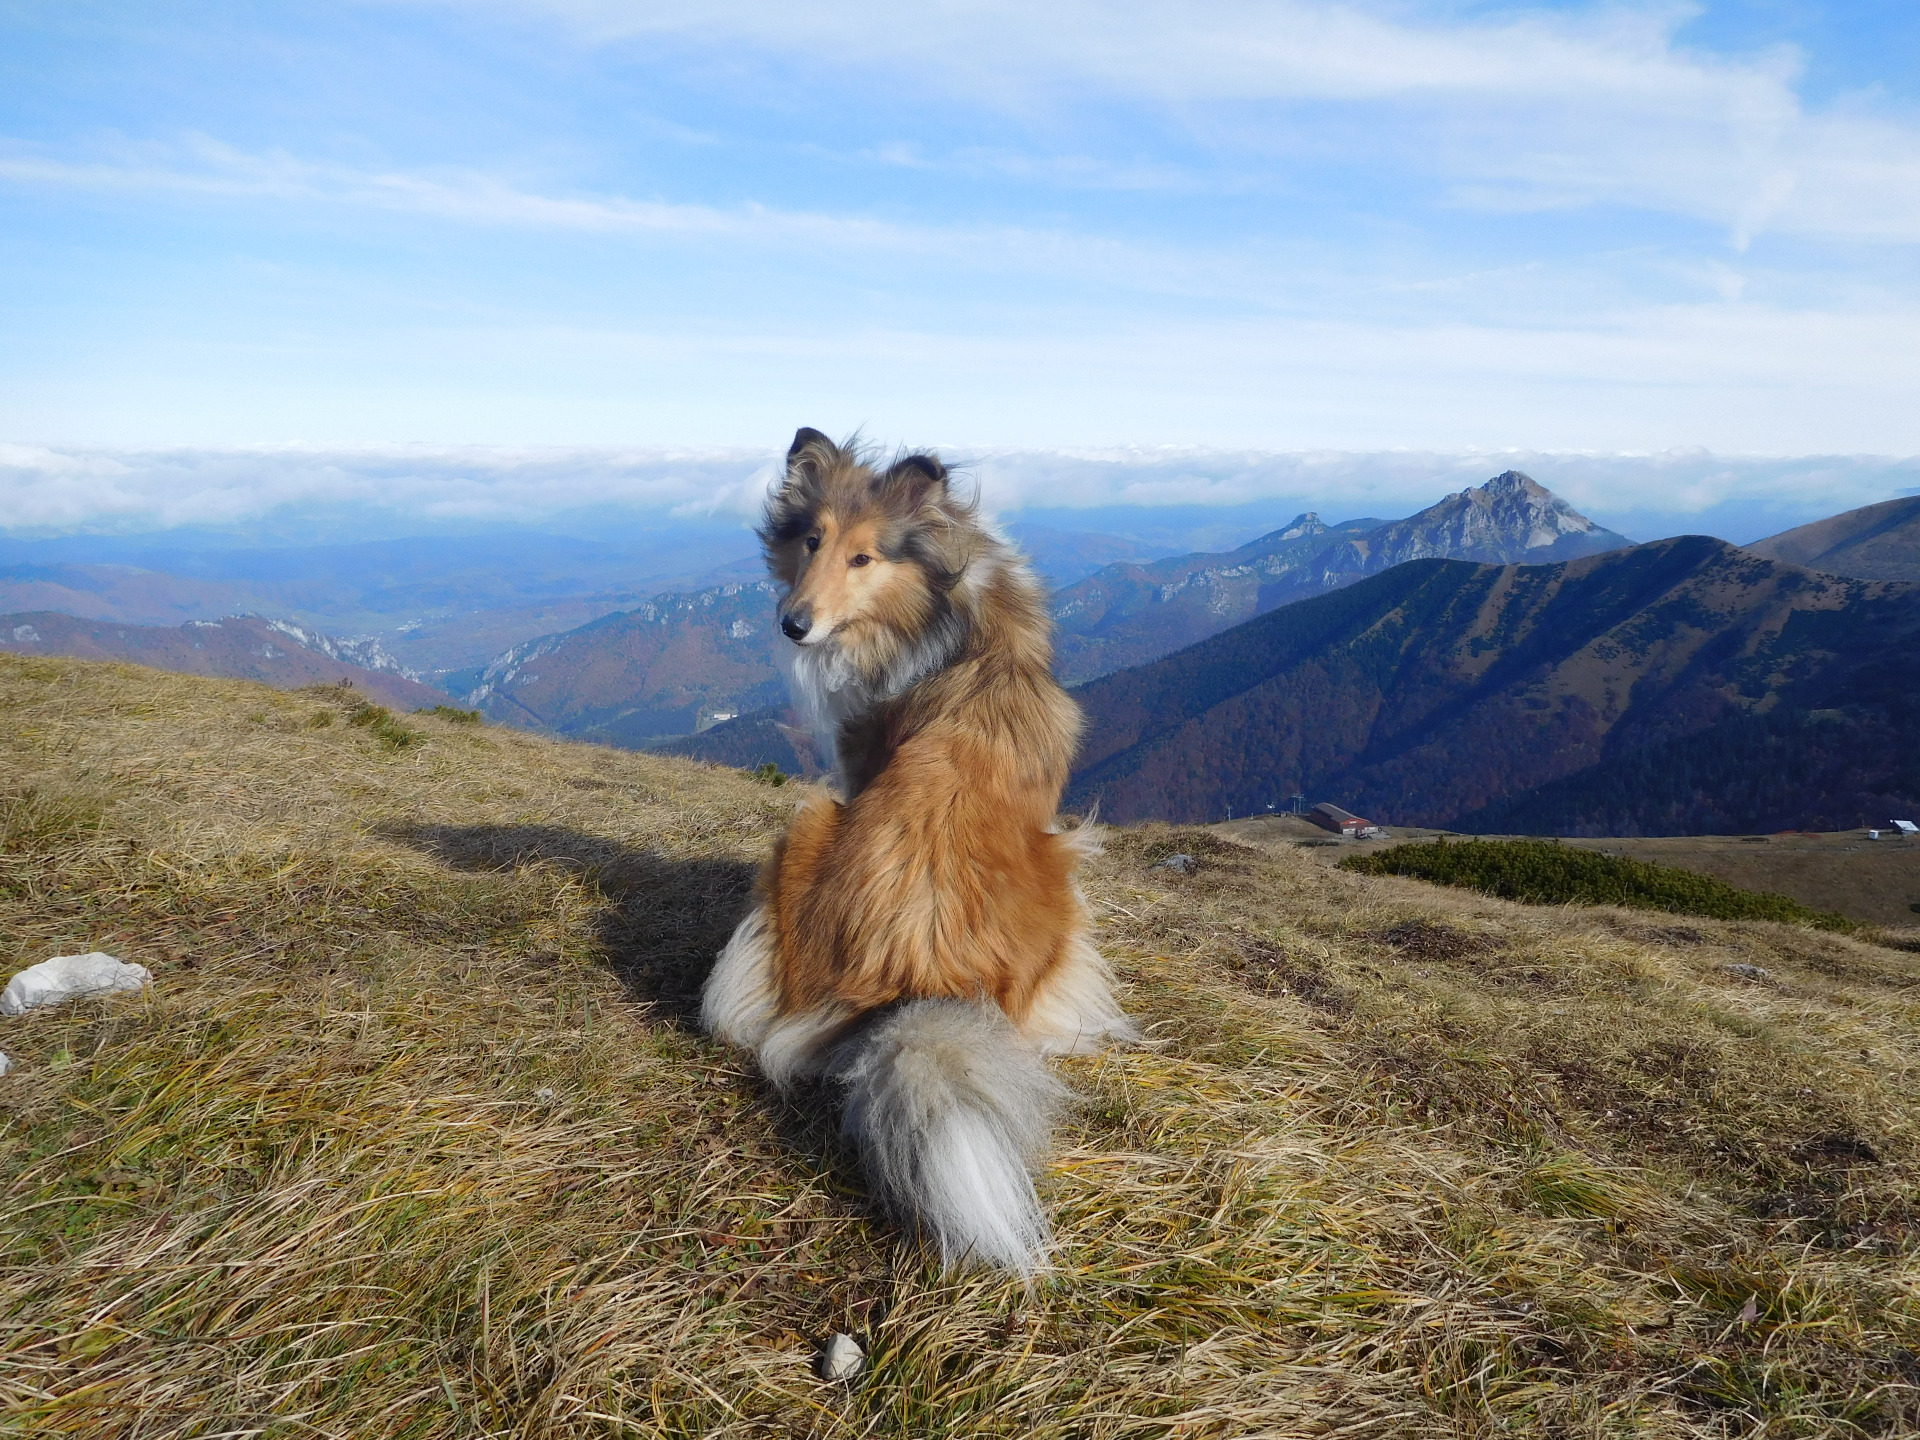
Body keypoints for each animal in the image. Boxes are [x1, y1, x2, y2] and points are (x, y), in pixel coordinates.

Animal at [701, 429, 1136, 1276]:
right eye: (812, 540)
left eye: (864, 557)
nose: (792, 624)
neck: (946, 613)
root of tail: (920, 983)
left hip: (810, 820)